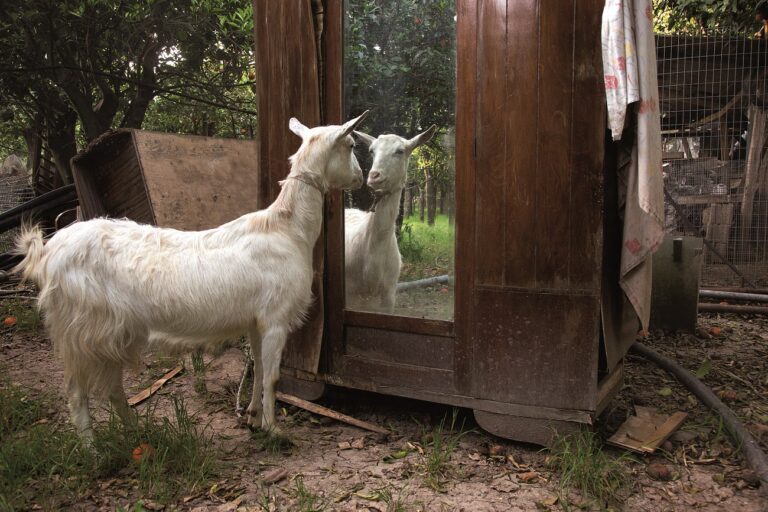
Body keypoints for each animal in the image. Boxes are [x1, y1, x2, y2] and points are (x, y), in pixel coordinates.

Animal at [13, 113, 368, 440]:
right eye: (351, 144)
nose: (361, 178)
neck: (288, 229)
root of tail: (47, 252)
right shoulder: (275, 318)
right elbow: (272, 377)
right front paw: (274, 430)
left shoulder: (256, 319)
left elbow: (258, 370)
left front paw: (253, 416)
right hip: (79, 330)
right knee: (76, 392)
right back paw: (94, 449)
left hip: (108, 333)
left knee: (112, 388)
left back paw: (135, 434)